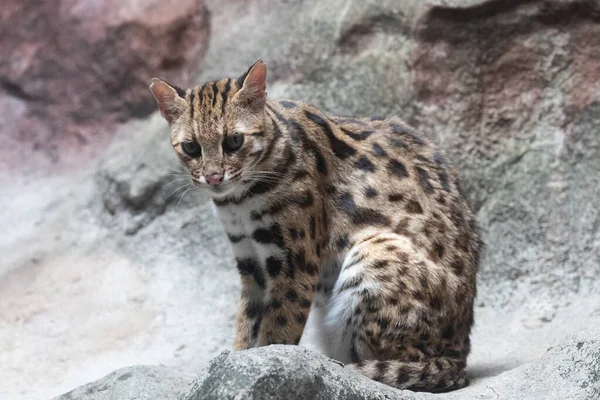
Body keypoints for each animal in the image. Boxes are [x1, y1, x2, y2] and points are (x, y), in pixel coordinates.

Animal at [151, 61, 482, 392]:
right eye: (191, 148)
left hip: (376, 255)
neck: (238, 201)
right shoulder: (249, 261)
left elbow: (279, 327)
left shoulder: (295, 261)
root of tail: (460, 354)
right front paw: (234, 363)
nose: (213, 178)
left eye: (234, 141)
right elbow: (246, 323)